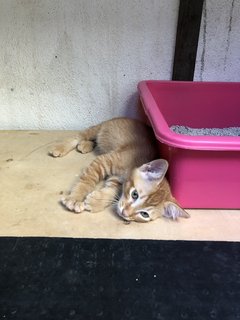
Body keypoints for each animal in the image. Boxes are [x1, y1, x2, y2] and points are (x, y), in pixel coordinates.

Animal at [49, 117, 189, 222]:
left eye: (144, 214)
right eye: (135, 194)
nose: (125, 214)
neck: (133, 164)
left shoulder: (116, 178)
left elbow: (113, 189)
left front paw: (96, 201)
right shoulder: (103, 161)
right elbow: (87, 180)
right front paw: (75, 198)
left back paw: (85, 145)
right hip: (98, 128)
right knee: (79, 136)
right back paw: (61, 147)